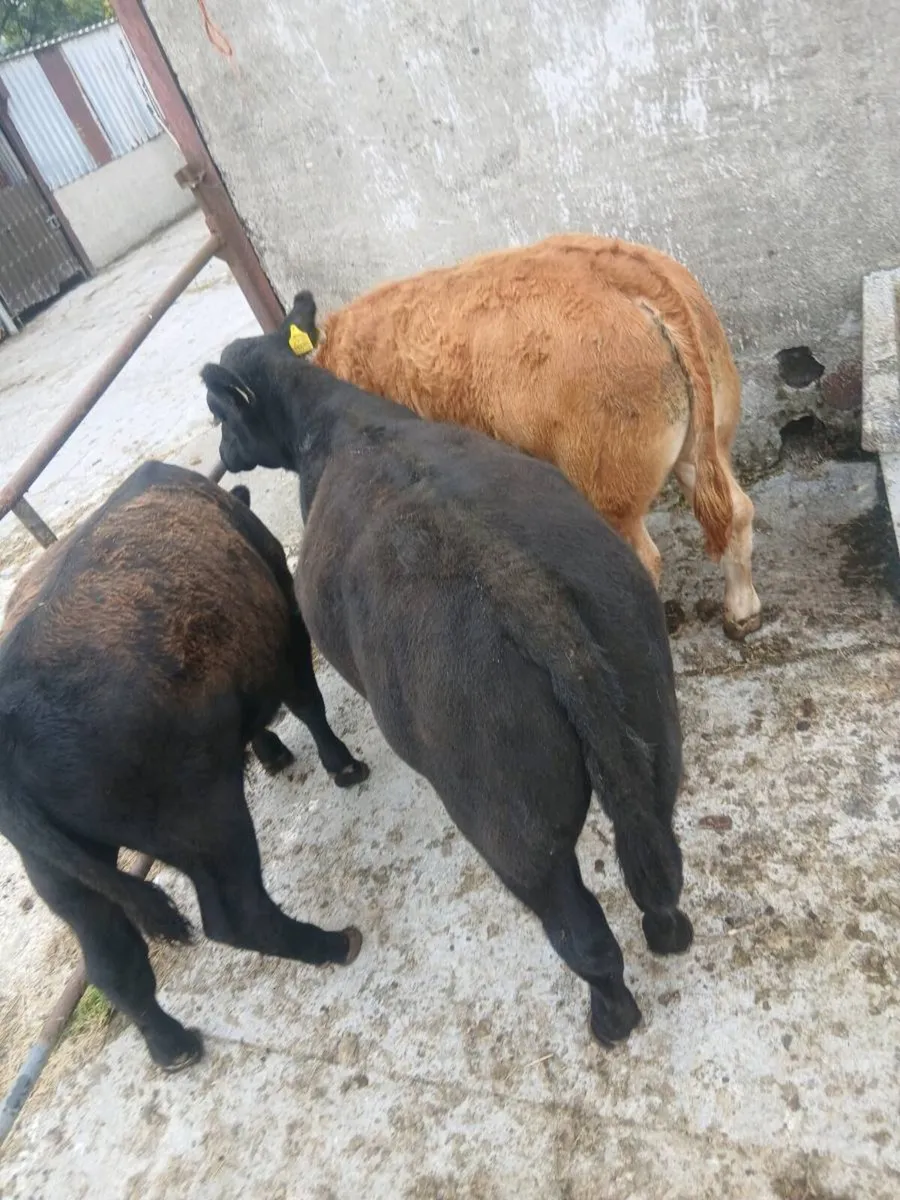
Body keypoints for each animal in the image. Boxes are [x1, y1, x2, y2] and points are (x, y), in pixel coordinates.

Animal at [0, 463, 368, 1071]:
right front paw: (344, 765)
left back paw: (172, 1044)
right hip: (208, 825)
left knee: (112, 963)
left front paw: (272, 752)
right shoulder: (287, 627)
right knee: (237, 916)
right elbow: (309, 704)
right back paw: (333, 943)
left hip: (66, 883)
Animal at [202, 304, 694, 1049]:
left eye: (218, 411)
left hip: (514, 826)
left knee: (582, 934)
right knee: (657, 862)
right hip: (653, 733)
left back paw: (611, 1017)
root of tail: (518, 585)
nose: (223, 458)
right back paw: (669, 934)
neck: (333, 418)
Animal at [294, 234, 762, 640]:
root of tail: (623, 269)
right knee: (736, 512)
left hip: (608, 485)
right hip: (703, 445)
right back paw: (741, 612)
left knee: (645, 560)